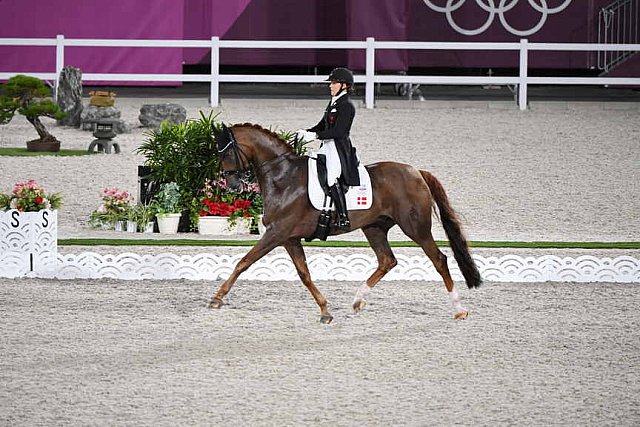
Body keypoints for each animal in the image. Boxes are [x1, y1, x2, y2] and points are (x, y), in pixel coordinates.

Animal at [209, 123, 480, 324]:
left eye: (226, 152)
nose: (232, 187)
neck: (284, 178)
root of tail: (417, 172)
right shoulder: (289, 238)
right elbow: (304, 274)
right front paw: (325, 311)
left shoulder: (276, 233)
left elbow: (244, 262)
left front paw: (217, 298)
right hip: (374, 227)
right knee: (387, 261)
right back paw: (357, 301)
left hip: (416, 228)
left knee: (439, 260)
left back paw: (459, 310)